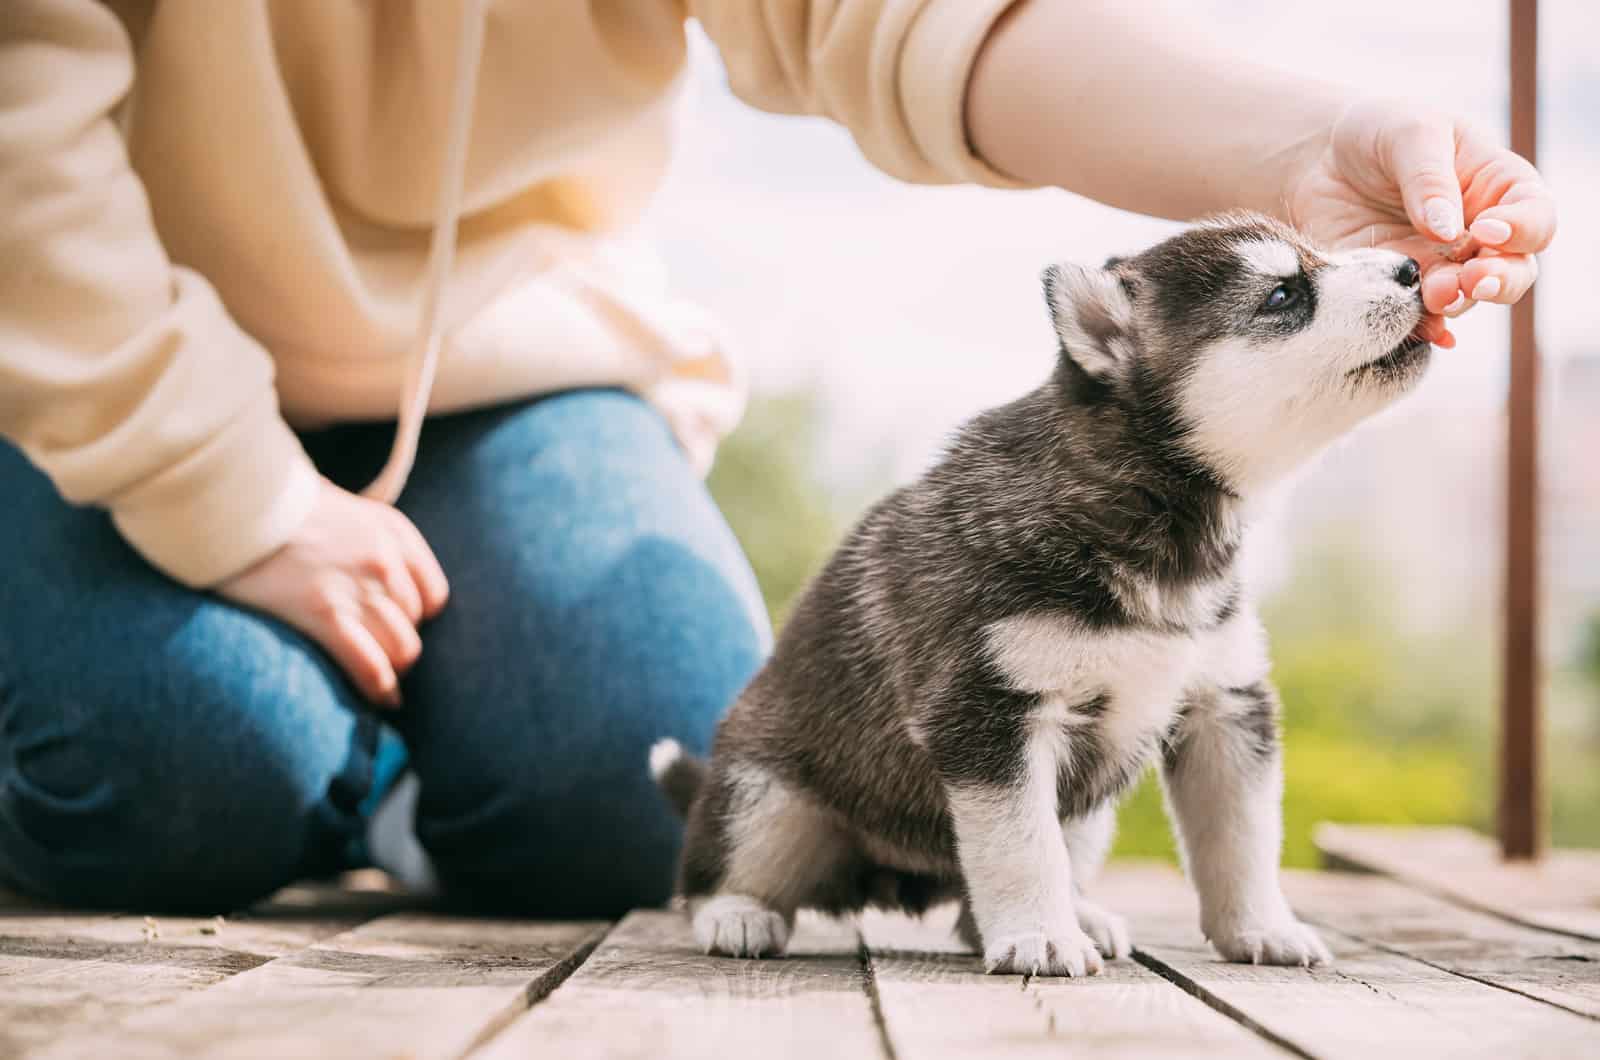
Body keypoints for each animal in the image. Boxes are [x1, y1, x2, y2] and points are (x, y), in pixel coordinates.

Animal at [656, 209, 1433, 979]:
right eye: (1282, 294)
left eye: (1318, 254)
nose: (1412, 268)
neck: (1156, 520)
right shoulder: (990, 713)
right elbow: (1020, 846)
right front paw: (1040, 937)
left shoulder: (1226, 703)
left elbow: (1242, 837)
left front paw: (1262, 928)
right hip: (765, 797)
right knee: (718, 872)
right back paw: (738, 913)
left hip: (1089, 816)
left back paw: (1076, 915)